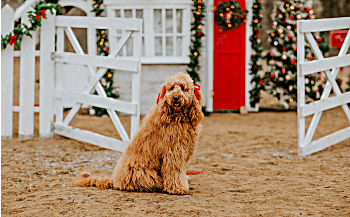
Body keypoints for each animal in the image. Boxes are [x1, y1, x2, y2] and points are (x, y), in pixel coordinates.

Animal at [75, 72, 204, 195]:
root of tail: (115, 180)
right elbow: (174, 171)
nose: (176, 97)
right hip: (144, 173)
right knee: (151, 182)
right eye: (171, 88)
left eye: (183, 88)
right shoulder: (173, 152)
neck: (177, 116)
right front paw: (177, 188)